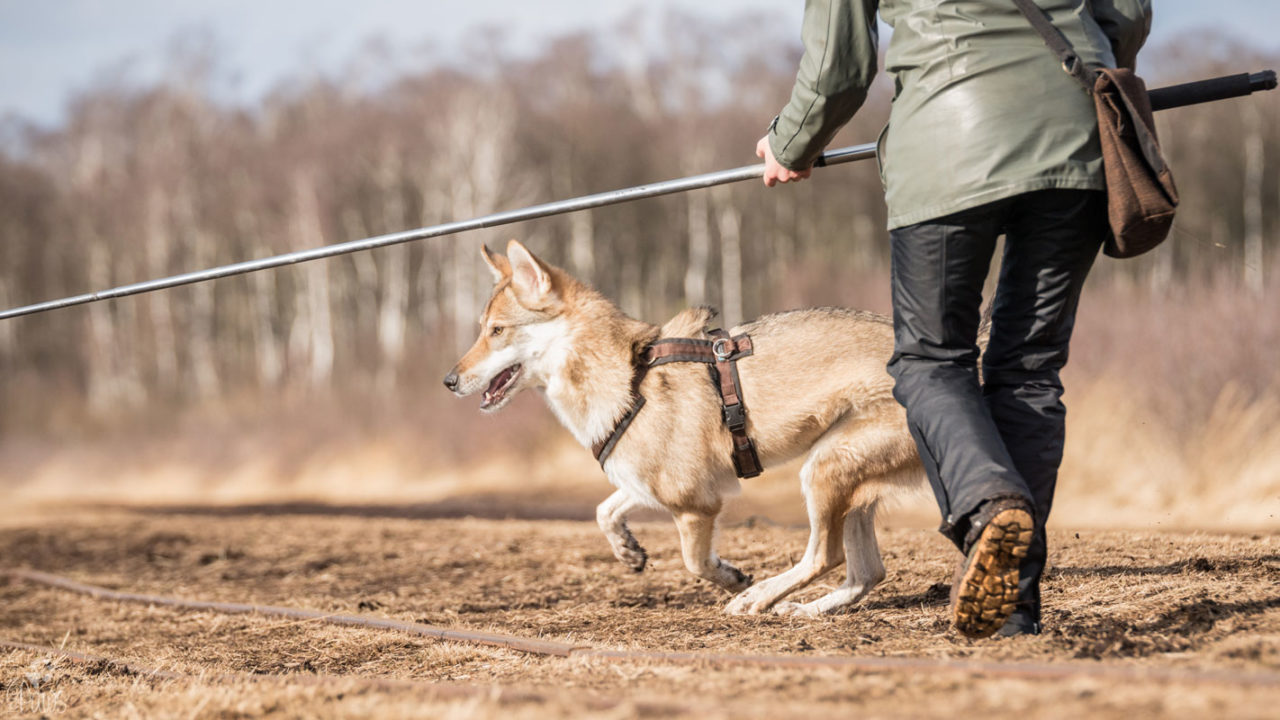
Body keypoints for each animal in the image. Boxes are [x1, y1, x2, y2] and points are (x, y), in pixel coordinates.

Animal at [445, 238, 926, 614]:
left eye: (497, 330)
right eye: (483, 329)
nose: (449, 381)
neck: (629, 377)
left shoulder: (696, 503)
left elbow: (696, 562)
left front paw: (733, 579)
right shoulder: (644, 481)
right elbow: (605, 510)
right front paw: (627, 549)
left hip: (823, 470)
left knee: (825, 556)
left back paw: (758, 598)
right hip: (849, 488)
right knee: (866, 573)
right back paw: (804, 610)